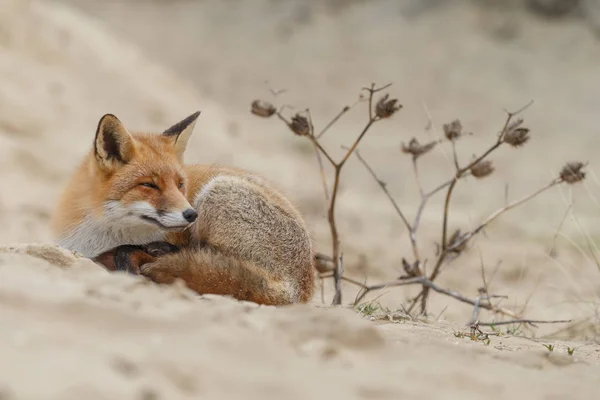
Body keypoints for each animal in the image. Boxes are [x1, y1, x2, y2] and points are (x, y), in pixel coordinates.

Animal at [52, 111, 316, 304]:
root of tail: (300, 289)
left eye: (180, 185)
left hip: (217, 191)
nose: (191, 214)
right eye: (149, 185)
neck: (100, 235)